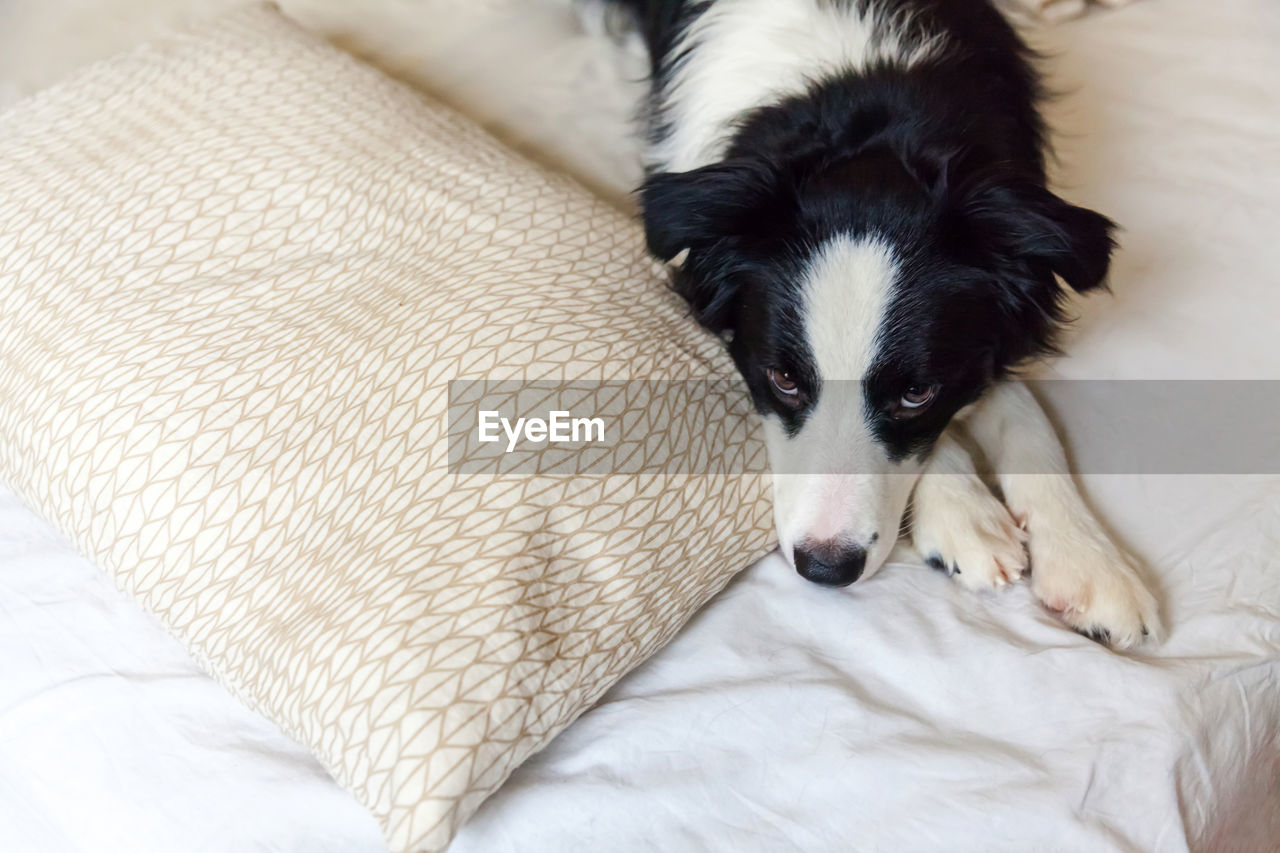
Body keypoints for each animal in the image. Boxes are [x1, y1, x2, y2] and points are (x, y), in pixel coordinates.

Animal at [586, 0, 1167, 645]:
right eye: (783, 379)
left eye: (916, 392)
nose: (826, 568)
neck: (871, 107)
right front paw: (966, 513)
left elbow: (1023, 414)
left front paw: (1090, 558)